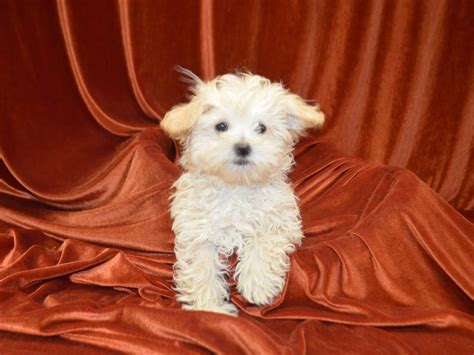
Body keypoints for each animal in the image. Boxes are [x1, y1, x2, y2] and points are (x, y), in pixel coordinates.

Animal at [161, 70, 324, 318]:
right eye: (221, 126)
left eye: (262, 128)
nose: (243, 147)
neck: (237, 186)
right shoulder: (197, 230)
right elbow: (201, 266)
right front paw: (208, 307)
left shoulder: (282, 221)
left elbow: (264, 240)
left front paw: (258, 284)